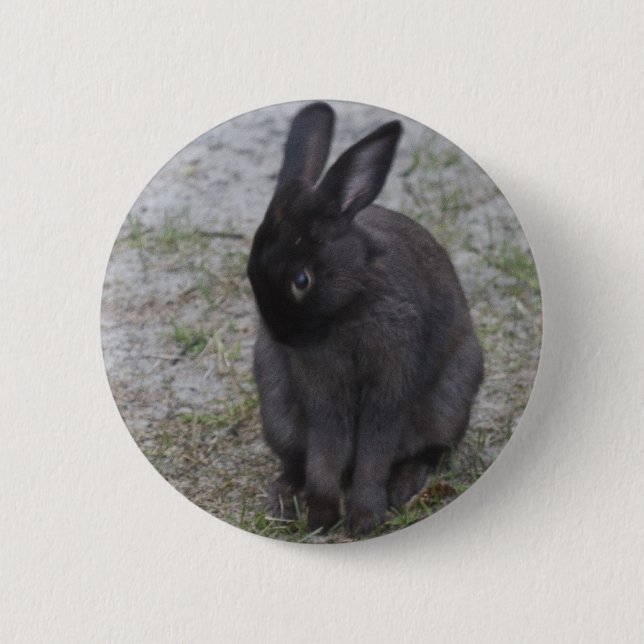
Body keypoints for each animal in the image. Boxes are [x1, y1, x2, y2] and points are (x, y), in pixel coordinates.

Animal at [246, 102, 484, 536]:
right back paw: (285, 499)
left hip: (451, 399)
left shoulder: (389, 383)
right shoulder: (323, 389)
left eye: (302, 281)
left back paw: (403, 486)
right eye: (250, 272)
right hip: (277, 413)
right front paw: (322, 517)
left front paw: (364, 520)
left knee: (431, 451)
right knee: (296, 461)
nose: (282, 336)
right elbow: (326, 448)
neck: (348, 308)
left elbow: (376, 446)